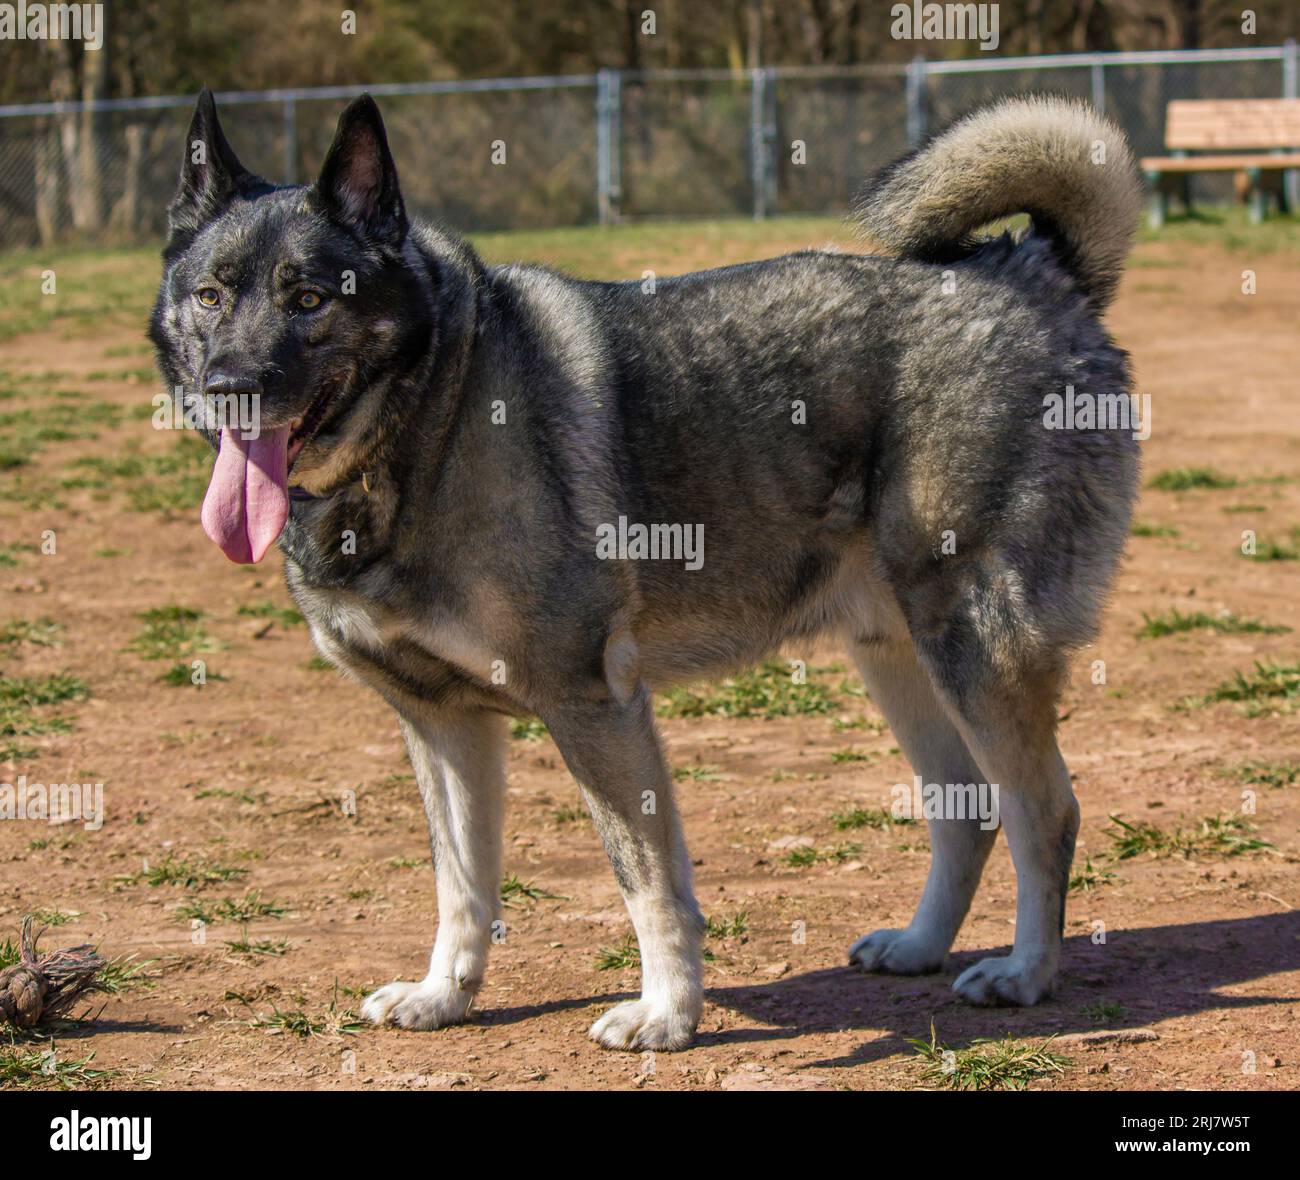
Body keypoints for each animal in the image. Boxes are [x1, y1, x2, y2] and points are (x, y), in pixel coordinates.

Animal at [152, 89, 1144, 1050]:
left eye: (310, 298)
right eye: (209, 296)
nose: (230, 386)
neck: (431, 415)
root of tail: (1034, 275)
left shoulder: (595, 707)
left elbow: (649, 885)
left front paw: (667, 1014)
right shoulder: (443, 727)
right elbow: (461, 887)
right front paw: (445, 996)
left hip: (973, 649)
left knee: (1044, 813)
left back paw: (1024, 974)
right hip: (900, 659)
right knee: (968, 809)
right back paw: (920, 947)